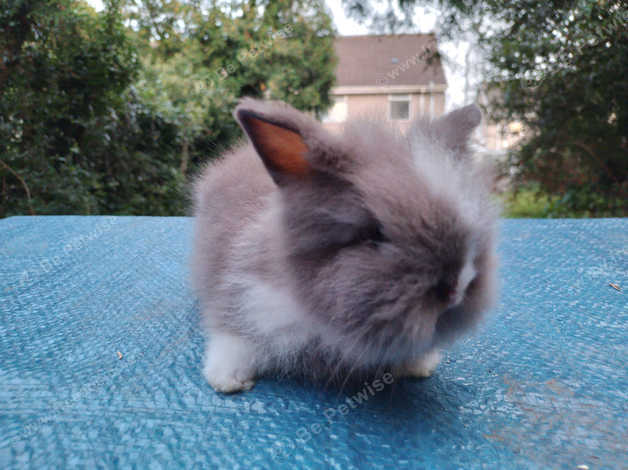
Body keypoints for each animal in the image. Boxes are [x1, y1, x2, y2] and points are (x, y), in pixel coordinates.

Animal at [194, 99, 498, 392]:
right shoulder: (243, 293)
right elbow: (234, 339)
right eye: (373, 235)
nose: (456, 290)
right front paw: (227, 379)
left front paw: (419, 365)